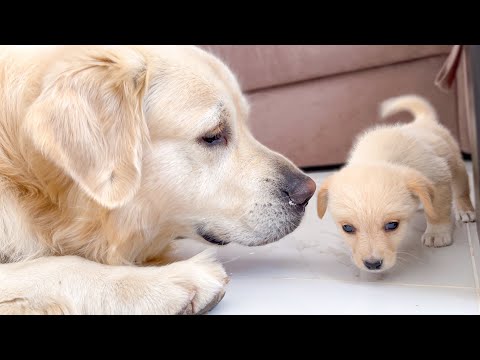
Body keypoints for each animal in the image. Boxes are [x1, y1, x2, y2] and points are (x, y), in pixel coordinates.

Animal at [316, 94, 474, 272]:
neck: (377, 155)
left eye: (392, 225)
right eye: (347, 228)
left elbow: (437, 212)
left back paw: (466, 210)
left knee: (462, 188)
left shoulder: (438, 178)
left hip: (455, 164)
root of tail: (423, 121)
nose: (372, 264)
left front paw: (437, 234)